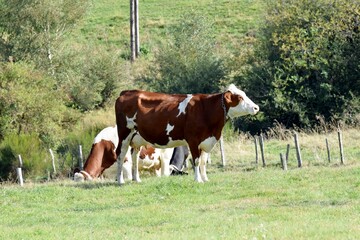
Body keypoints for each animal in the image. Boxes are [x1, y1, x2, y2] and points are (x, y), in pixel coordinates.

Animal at [115, 84, 258, 184]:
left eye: (244, 94)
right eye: (239, 97)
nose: (256, 107)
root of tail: (127, 92)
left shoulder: (206, 141)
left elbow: (203, 161)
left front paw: (205, 179)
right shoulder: (193, 140)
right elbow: (196, 161)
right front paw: (198, 180)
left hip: (136, 139)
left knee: (134, 156)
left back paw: (137, 179)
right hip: (124, 134)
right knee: (120, 155)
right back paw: (120, 181)